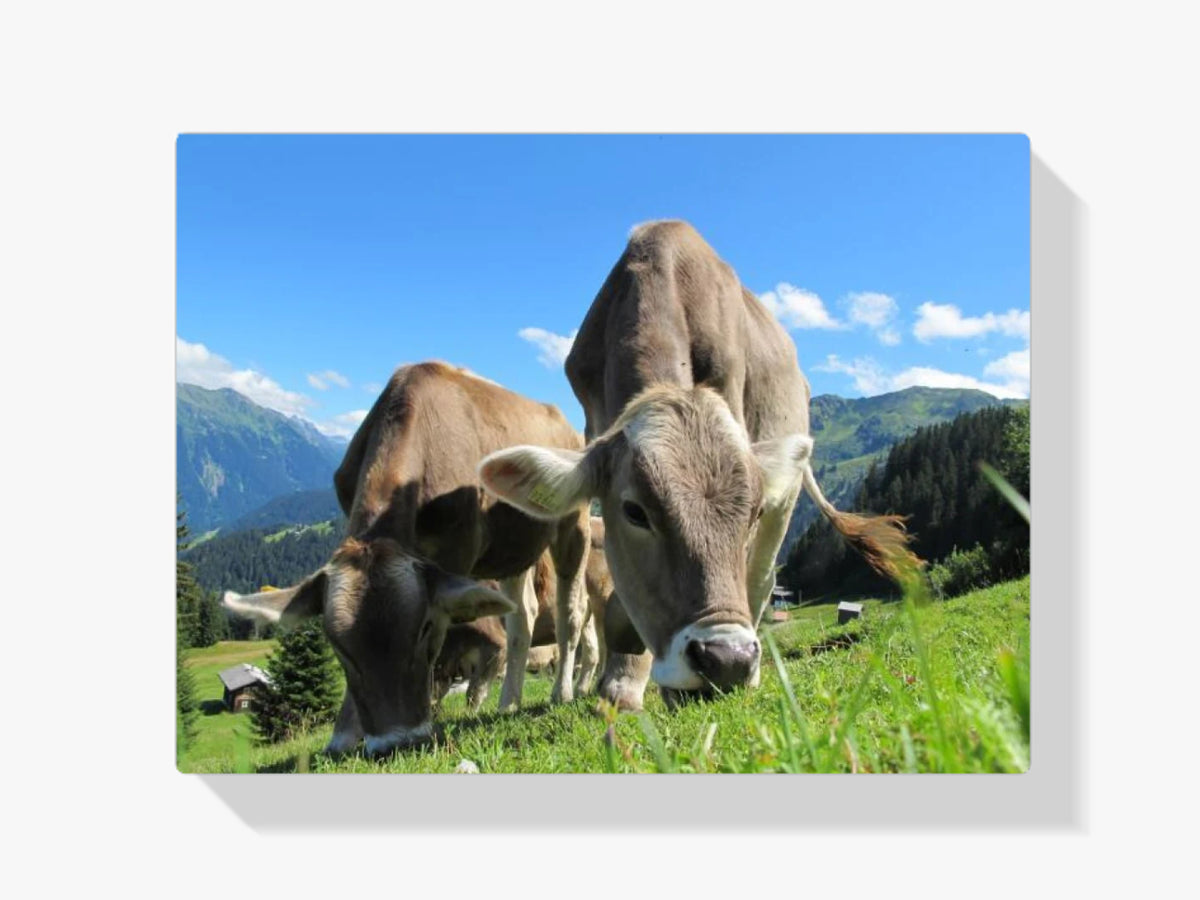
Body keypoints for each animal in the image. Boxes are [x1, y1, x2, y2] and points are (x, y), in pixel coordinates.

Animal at [223, 362, 591, 757]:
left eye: (425, 628)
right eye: (337, 645)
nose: (395, 743)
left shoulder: (457, 553)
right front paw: (344, 735)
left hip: (574, 523)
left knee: (571, 611)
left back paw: (562, 692)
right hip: (513, 548)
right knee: (522, 616)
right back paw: (509, 701)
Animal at [479, 220, 916, 710]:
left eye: (752, 512)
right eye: (634, 512)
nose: (727, 660)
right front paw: (623, 682)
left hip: (785, 501)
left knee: (761, 578)